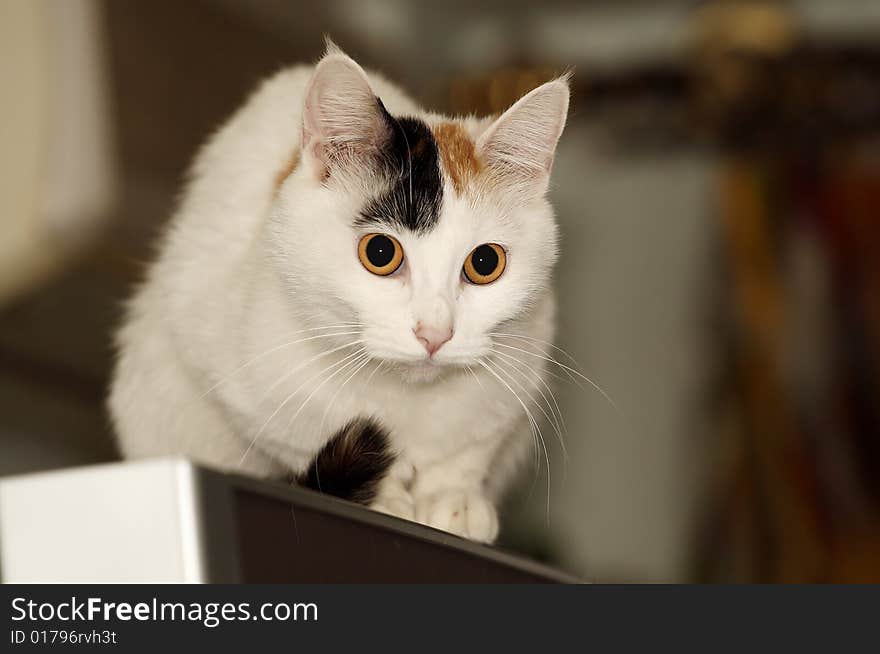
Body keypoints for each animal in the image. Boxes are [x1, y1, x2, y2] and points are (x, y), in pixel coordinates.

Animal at [108, 42, 572, 544]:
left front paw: (454, 497)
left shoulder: (521, 367)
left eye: (485, 263)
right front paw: (388, 497)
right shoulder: (238, 368)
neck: (405, 397)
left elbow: (470, 449)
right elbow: (300, 432)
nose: (434, 334)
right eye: (380, 252)